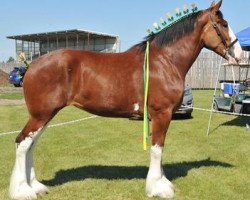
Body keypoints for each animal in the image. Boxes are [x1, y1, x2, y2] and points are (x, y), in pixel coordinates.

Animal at [9, 0, 242, 199]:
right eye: (223, 24)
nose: (239, 54)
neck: (165, 61)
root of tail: (32, 65)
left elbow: (159, 149)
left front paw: (161, 182)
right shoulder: (162, 114)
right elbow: (158, 149)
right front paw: (158, 188)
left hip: (45, 115)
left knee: (31, 145)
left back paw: (35, 186)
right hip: (41, 115)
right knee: (22, 143)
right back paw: (23, 191)